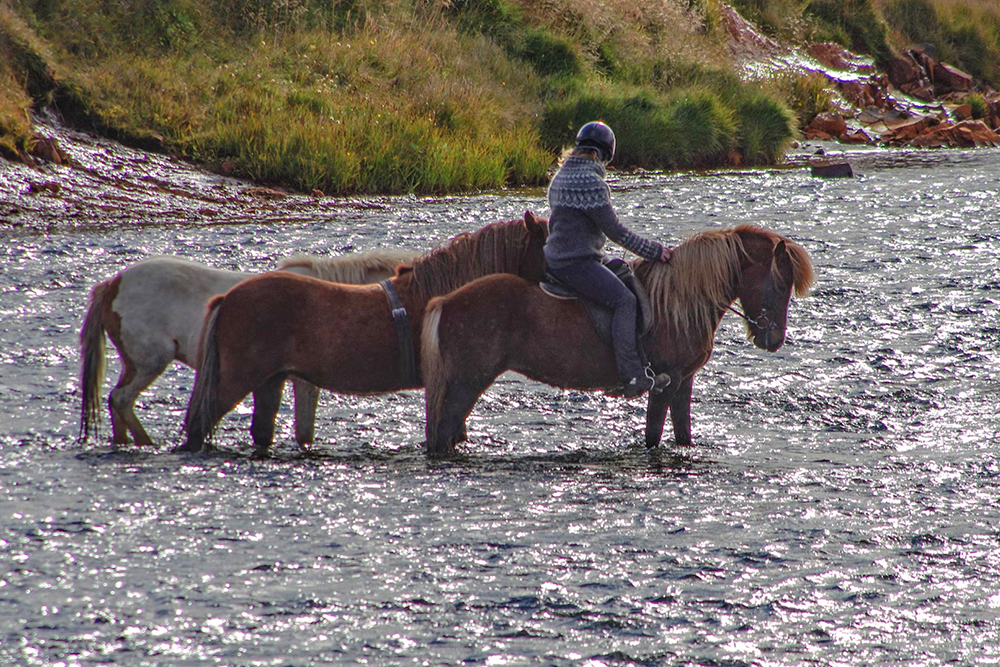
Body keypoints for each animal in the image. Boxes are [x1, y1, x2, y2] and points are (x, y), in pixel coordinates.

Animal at [79, 250, 418, 448]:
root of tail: (112, 284)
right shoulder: (305, 380)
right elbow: (304, 430)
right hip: (151, 361)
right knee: (122, 399)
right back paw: (148, 443)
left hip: (134, 363)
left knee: (117, 403)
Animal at [418, 224, 816, 460]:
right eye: (781, 283)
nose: (774, 340)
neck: (679, 300)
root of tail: (446, 301)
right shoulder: (665, 382)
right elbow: (653, 436)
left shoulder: (684, 382)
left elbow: (683, 434)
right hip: (467, 383)